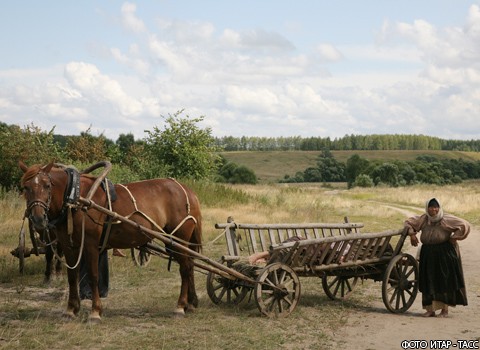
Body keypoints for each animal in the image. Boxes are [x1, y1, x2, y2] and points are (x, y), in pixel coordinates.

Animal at [18, 161, 202, 320]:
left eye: (47, 186)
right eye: (26, 187)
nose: (38, 218)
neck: (75, 198)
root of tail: (188, 191)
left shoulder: (90, 244)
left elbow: (93, 275)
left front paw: (95, 312)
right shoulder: (68, 245)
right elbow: (72, 276)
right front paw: (71, 309)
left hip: (179, 238)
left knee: (185, 268)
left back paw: (180, 306)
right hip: (172, 241)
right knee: (190, 265)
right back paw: (191, 303)